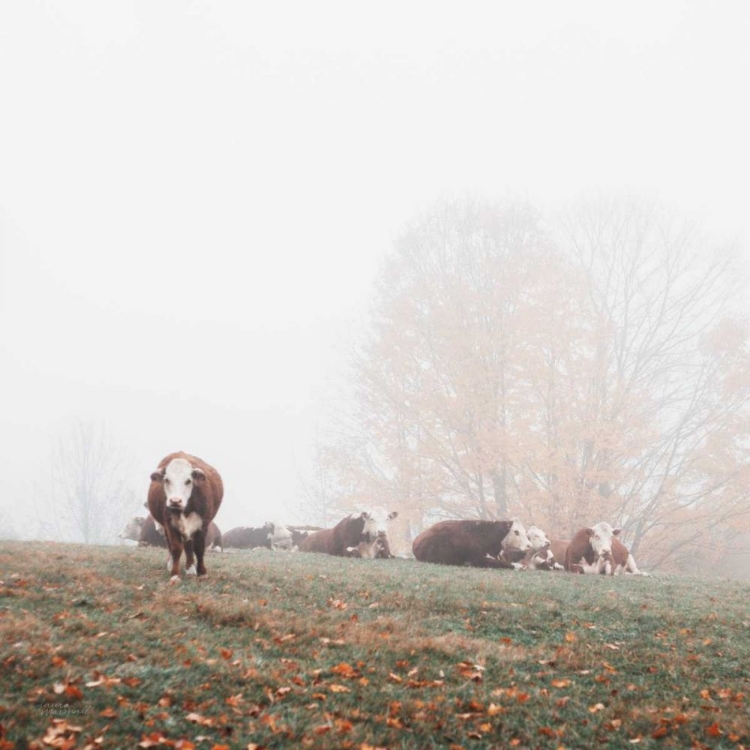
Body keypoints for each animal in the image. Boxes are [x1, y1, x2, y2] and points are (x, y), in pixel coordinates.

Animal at [147, 452, 223, 580]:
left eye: (188, 481)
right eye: (167, 480)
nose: (175, 501)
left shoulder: (203, 524)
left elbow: (199, 548)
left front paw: (202, 572)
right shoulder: (169, 524)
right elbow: (176, 548)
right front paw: (175, 574)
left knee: (188, 546)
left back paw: (190, 569)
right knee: (173, 545)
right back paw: (173, 564)